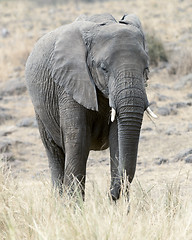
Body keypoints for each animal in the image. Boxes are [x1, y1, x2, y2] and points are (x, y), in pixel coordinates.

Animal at [25, 13, 156, 201]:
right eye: (103, 68)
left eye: (146, 68)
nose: (111, 194)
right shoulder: (69, 83)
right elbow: (78, 139)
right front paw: (73, 206)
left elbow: (118, 137)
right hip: (40, 110)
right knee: (54, 152)